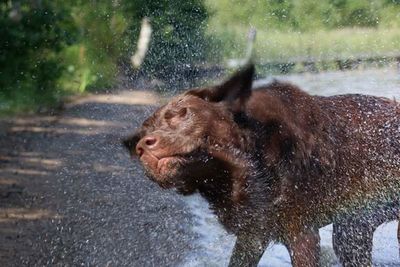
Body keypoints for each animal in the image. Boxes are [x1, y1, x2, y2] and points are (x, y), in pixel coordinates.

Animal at [122, 63, 400, 266]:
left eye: (182, 114)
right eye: (145, 130)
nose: (142, 146)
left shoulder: (301, 232)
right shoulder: (252, 234)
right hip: (353, 227)